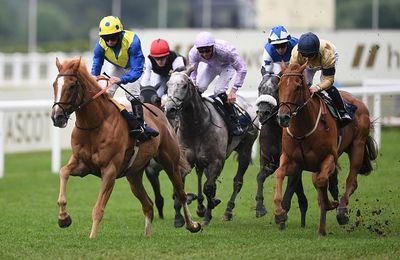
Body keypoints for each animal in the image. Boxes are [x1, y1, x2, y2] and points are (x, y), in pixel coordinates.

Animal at [50, 58, 200, 239]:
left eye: (72, 86)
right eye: (54, 85)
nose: (57, 117)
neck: (94, 125)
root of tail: (159, 111)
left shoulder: (109, 170)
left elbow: (98, 208)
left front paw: (92, 237)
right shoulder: (82, 164)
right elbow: (63, 172)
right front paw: (63, 218)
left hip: (170, 162)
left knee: (181, 194)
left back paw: (192, 225)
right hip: (133, 175)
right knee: (148, 205)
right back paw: (147, 235)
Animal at [164, 69, 258, 225]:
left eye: (184, 86)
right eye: (167, 85)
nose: (170, 109)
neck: (196, 127)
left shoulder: (216, 162)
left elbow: (208, 187)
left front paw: (207, 217)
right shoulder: (185, 160)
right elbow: (180, 186)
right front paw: (178, 217)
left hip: (245, 149)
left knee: (237, 182)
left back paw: (226, 211)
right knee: (201, 174)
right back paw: (202, 205)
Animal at [274, 63, 376, 236]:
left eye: (298, 86)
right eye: (279, 86)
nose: (283, 117)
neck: (303, 130)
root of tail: (358, 101)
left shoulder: (329, 157)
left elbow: (321, 181)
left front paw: (331, 205)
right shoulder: (291, 160)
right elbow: (280, 173)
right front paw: (280, 213)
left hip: (357, 146)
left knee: (351, 181)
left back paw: (341, 211)